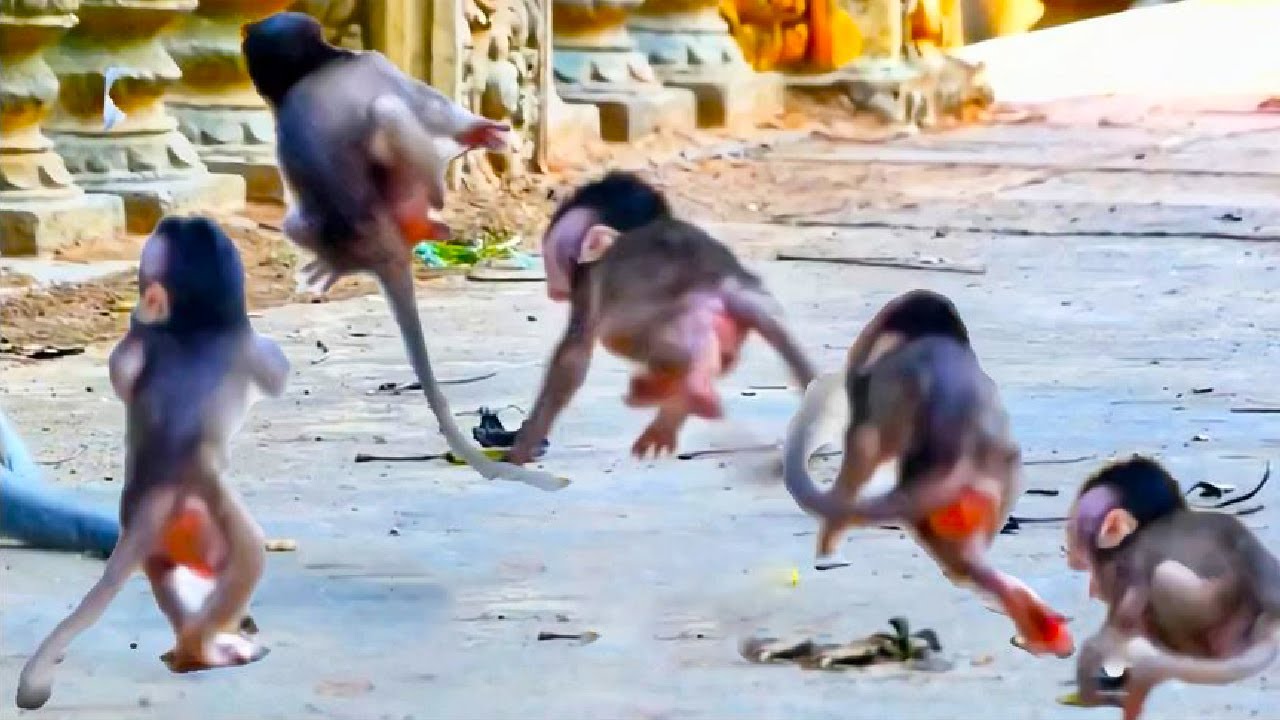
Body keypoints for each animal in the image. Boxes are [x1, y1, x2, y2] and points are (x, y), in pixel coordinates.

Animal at [15, 216, 289, 710]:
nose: (177, 218)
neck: (191, 326)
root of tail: (160, 489)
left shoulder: (142, 347)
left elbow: (124, 364)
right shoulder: (252, 346)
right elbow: (276, 374)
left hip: (171, 531)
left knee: (165, 571)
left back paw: (190, 647)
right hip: (213, 516)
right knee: (246, 559)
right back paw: (202, 646)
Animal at [241, 12, 565, 492]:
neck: (316, 67)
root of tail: (384, 244)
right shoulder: (369, 66)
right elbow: (428, 106)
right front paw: (479, 131)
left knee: (387, 119)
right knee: (394, 114)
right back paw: (427, 222)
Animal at [505, 171, 816, 463]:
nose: (551, 288)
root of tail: (726, 281)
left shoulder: (587, 281)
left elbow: (572, 360)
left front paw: (522, 447)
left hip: (659, 317)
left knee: (632, 339)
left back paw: (688, 387)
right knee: (716, 358)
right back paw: (672, 396)